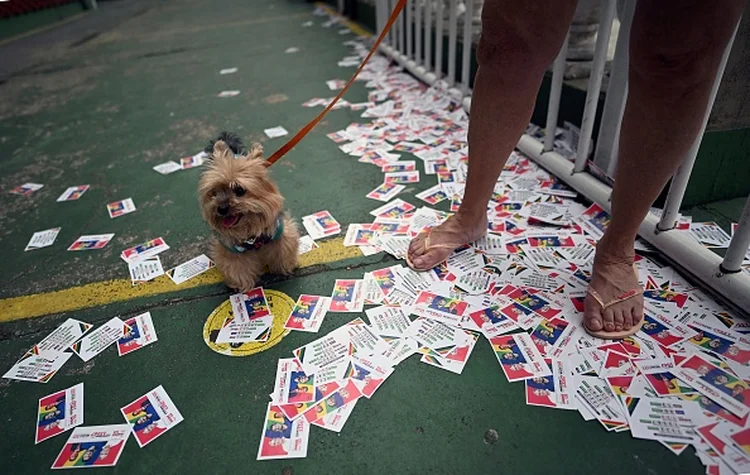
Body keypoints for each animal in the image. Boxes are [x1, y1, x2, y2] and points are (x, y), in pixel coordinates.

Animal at [200, 132, 300, 292]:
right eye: (214, 192)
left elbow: (283, 251)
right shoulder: (231, 250)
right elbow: (237, 268)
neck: (249, 228)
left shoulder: (281, 235)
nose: (221, 209)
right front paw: (242, 285)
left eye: (239, 190)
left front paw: (285, 267)